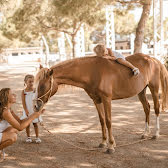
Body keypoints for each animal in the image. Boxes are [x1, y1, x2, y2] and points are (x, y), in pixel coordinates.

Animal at [33, 53, 168, 154]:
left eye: (43, 86)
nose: (36, 106)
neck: (92, 72)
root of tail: (153, 59)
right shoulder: (96, 100)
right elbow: (102, 120)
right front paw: (103, 142)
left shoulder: (106, 99)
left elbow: (108, 121)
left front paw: (111, 146)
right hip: (141, 92)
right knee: (147, 108)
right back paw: (145, 133)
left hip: (154, 88)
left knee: (156, 108)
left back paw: (155, 134)